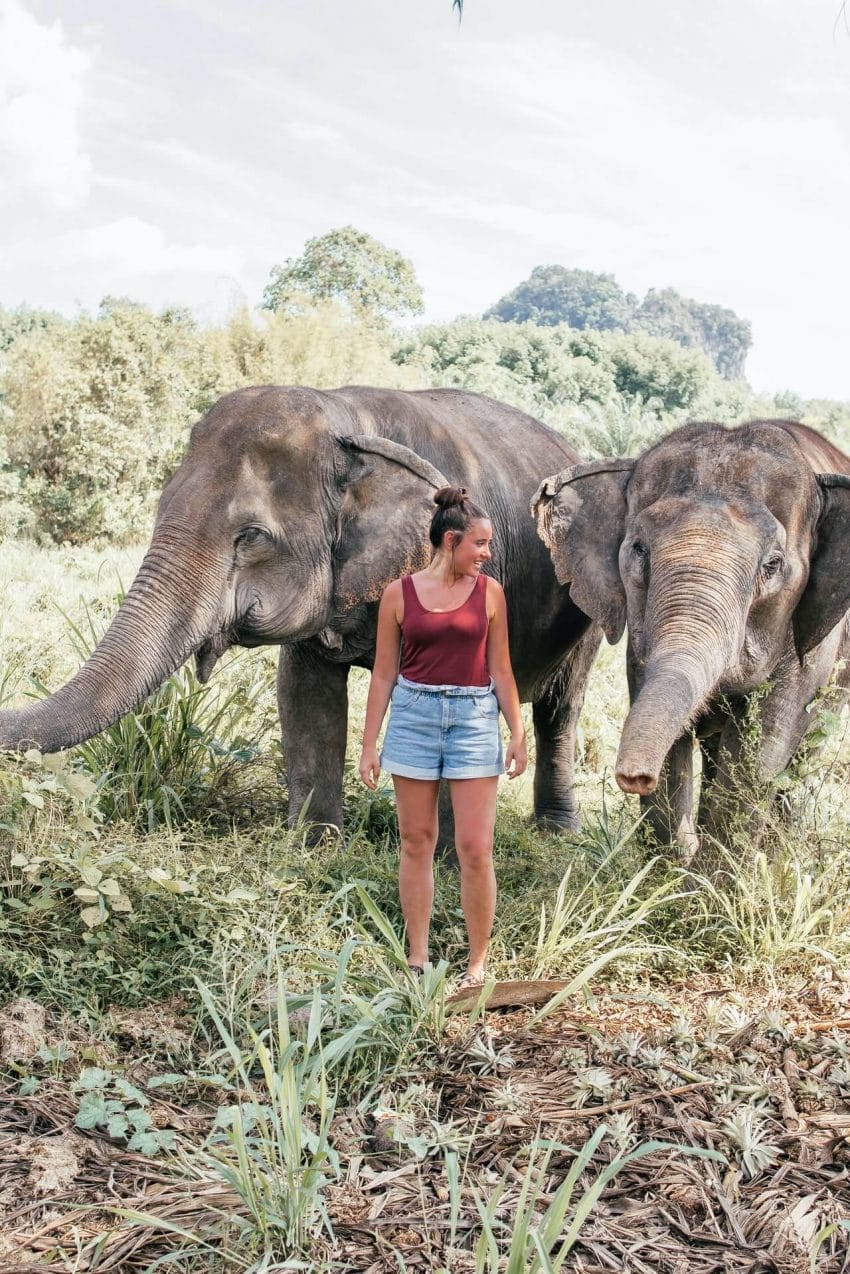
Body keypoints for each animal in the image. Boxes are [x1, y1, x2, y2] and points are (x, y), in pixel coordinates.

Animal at [0, 382, 601, 830]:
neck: (348, 419)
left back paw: (556, 830)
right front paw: (315, 843)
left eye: (250, 537)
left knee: (560, 711)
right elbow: (305, 695)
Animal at [535, 420, 850, 856]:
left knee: (799, 757)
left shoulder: (811, 644)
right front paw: (672, 869)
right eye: (639, 550)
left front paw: (714, 873)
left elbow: (760, 751)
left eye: (772, 565)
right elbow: (672, 741)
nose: (633, 777)